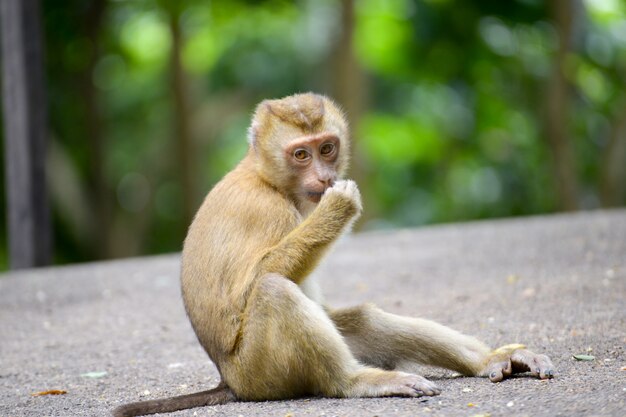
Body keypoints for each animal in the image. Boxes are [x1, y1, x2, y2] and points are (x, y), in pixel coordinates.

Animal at [111, 92, 552, 414]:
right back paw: (356, 382)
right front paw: (338, 207)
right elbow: (253, 285)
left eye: (326, 148)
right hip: (262, 373)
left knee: (361, 319)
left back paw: (489, 360)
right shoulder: (268, 211)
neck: (266, 179)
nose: (324, 178)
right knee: (274, 291)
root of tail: (229, 381)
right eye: (301, 154)